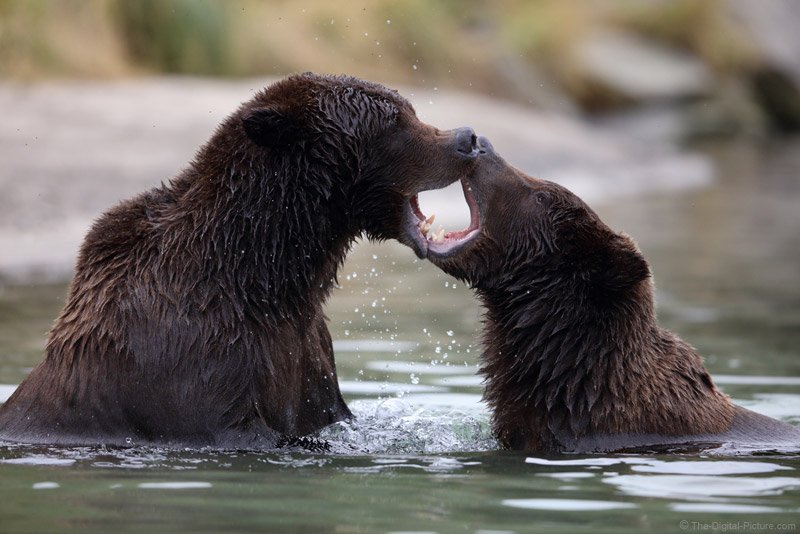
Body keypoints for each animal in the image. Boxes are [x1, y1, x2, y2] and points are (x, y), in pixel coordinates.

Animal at [0, 73, 480, 449]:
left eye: (409, 110)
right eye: (394, 122)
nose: (467, 138)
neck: (262, 274)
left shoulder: (306, 355)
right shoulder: (193, 351)